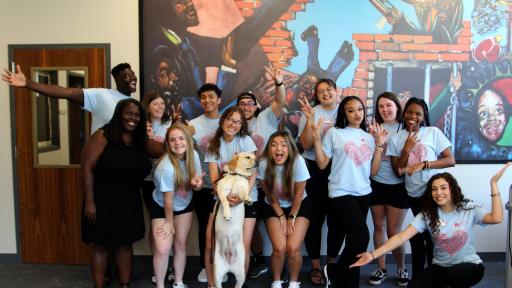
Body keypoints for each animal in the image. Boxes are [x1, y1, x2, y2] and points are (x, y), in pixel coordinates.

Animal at [214, 152, 256, 286]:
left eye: (255, 156)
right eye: (248, 157)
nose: (258, 160)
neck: (237, 176)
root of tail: (229, 265)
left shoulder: (241, 190)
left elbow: (243, 194)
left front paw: (247, 199)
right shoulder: (222, 189)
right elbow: (225, 201)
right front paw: (227, 213)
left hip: (241, 275)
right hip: (216, 275)